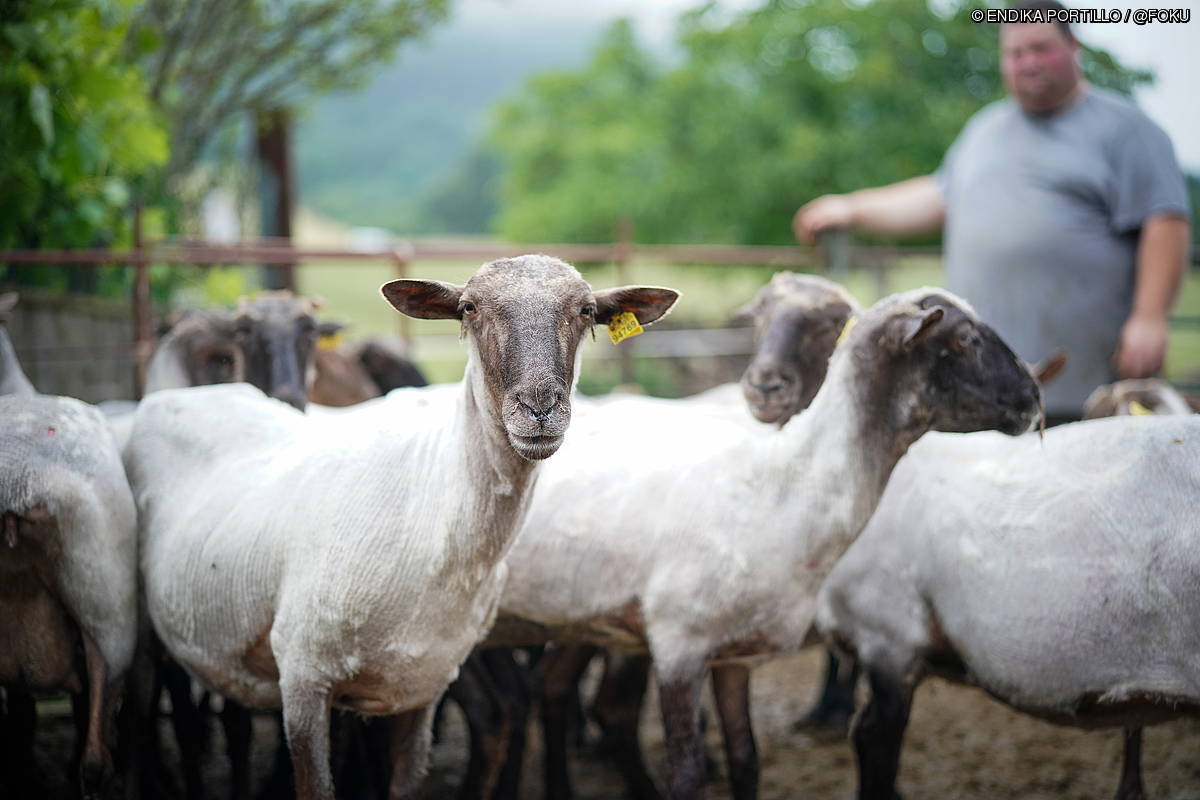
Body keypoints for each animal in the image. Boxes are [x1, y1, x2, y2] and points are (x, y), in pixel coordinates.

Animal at [126, 256, 681, 800]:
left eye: (586, 311)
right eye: (469, 307)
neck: (432, 522)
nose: (540, 409)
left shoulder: (421, 691)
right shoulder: (303, 680)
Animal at [487, 287, 1041, 800]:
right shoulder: (678, 646)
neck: (780, 488)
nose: (1032, 399)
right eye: (965, 339)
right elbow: (687, 776)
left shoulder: (735, 655)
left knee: (553, 689)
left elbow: (746, 759)